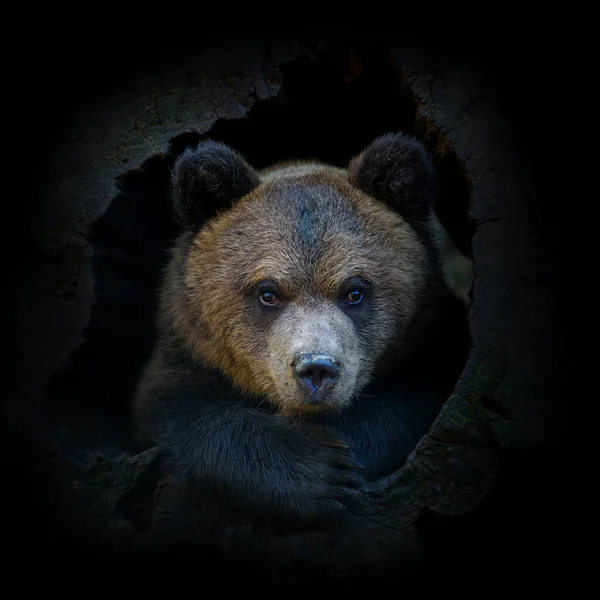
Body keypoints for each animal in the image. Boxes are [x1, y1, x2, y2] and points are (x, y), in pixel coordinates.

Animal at [131, 134, 474, 528]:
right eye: (268, 292)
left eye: (354, 291)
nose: (316, 368)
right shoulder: (187, 351)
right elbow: (179, 410)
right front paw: (323, 473)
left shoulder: (428, 340)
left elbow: (410, 401)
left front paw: (350, 453)